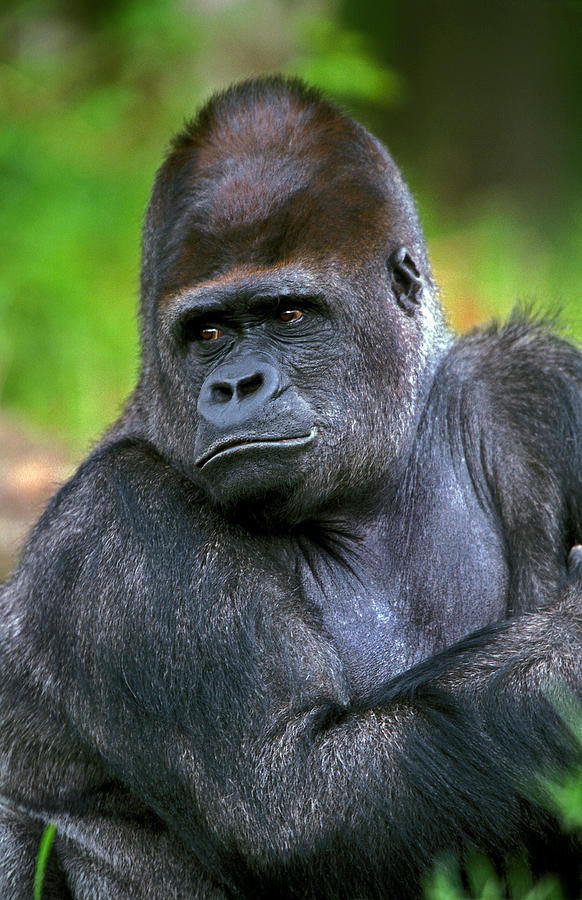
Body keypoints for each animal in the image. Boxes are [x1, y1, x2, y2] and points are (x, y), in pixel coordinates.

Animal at [1, 77, 582, 900]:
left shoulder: (539, 385)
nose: (236, 386)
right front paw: (575, 644)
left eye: (289, 313)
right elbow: (297, 800)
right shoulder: (117, 526)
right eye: (208, 332)